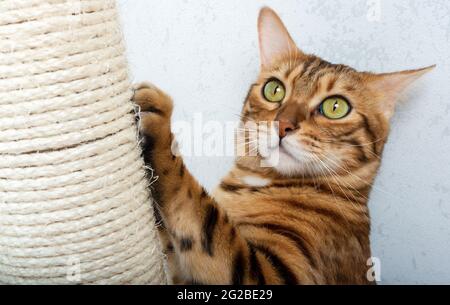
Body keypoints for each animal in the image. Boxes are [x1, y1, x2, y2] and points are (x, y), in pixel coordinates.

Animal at [132, 7, 434, 284]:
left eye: (335, 106)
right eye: (274, 89)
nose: (283, 125)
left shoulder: (274, 274)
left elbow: (199, 210)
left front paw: (159, 122)